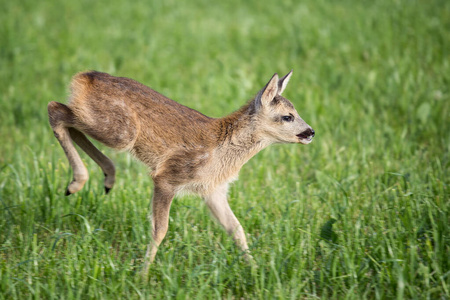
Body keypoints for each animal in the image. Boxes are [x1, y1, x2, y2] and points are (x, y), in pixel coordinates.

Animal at [47, 70, 314, 276]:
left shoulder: (213, 190)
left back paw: (105, 177)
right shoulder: (168, 176)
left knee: (67, 119)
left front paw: (256, 270)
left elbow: (236, 229)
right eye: (287, 116)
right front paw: (143, 275)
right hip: (120, 132)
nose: (311, 132)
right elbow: (160, 229)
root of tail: (85, 76)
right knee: (55, 108)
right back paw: (77, 183)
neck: (221, 152)